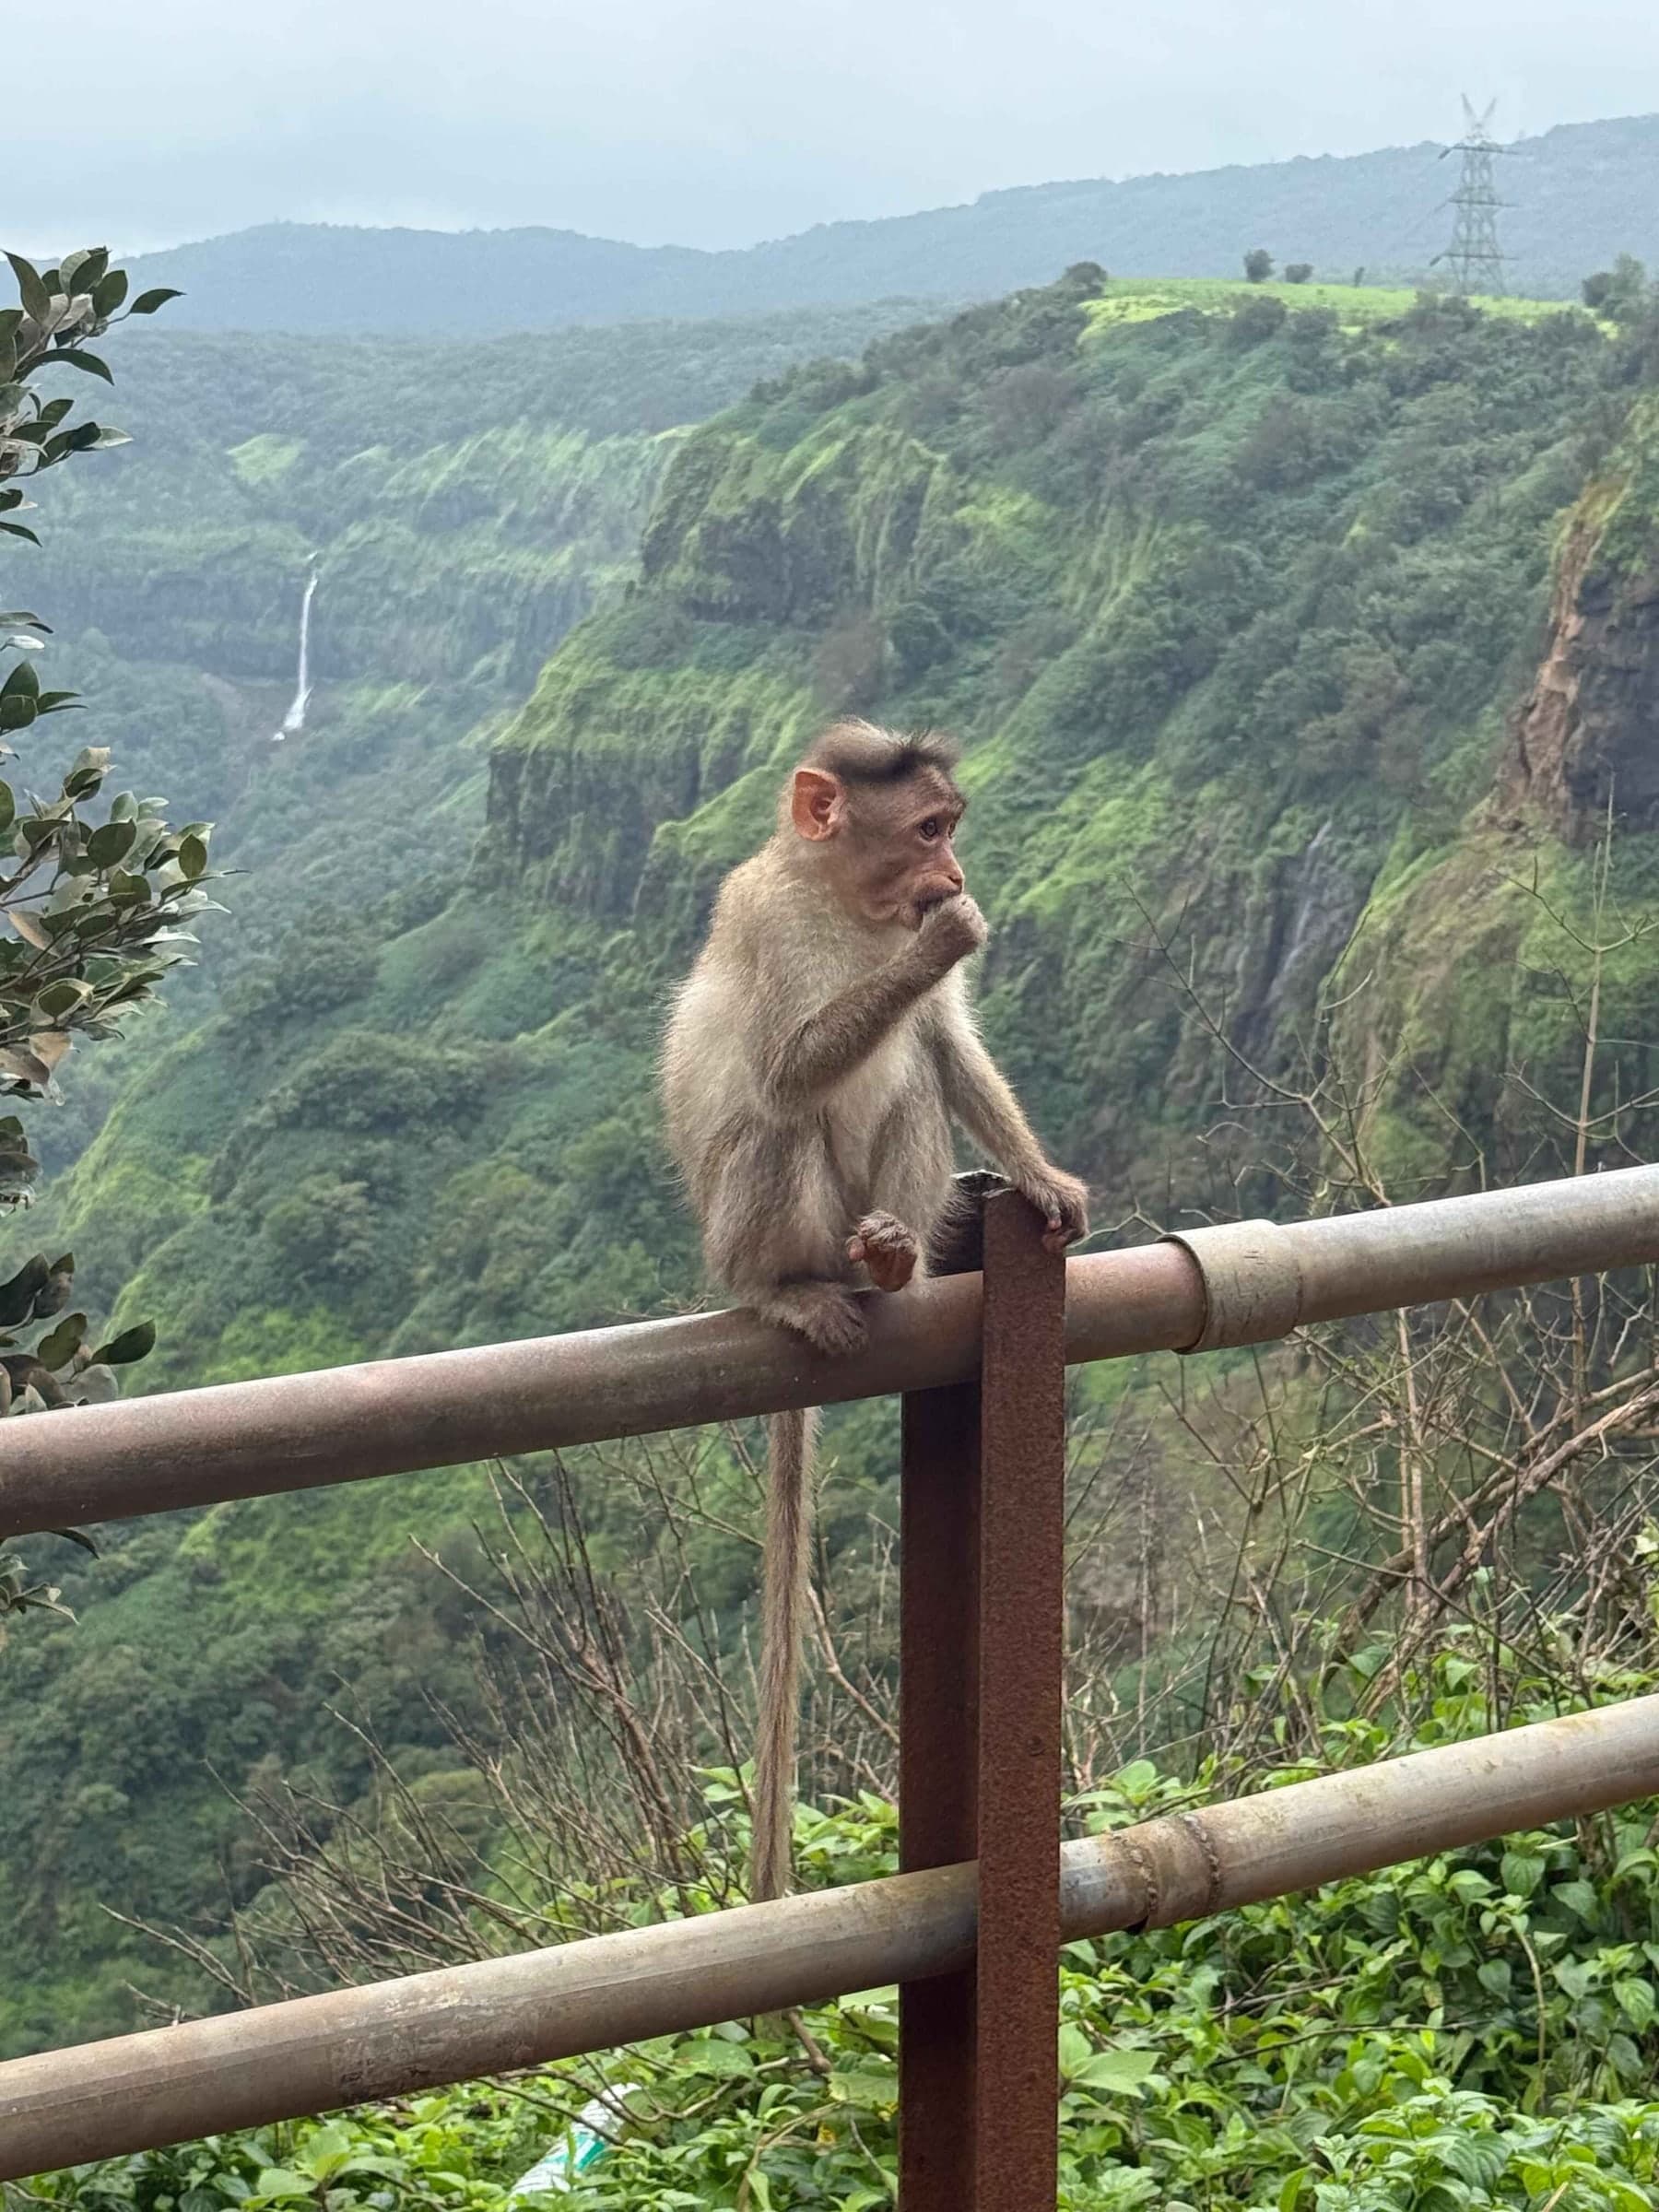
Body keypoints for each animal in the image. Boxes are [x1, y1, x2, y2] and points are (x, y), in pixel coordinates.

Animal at [660, 717, 1089, 1900]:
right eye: (930, 830)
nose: (956, 877)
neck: (846, 906)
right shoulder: (763, 917)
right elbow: (784, 1066)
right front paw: (938, 947)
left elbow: (947, 1052)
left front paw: (1039, 1180)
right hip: (746, 1232)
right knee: (779, 1117)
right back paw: (788, 1295)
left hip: (866, 1210)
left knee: (908, 1084)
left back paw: (898, 1263)